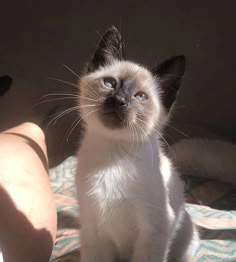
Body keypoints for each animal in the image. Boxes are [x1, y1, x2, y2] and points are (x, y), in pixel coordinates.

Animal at [76, 26, 198, 262]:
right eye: (110, 83)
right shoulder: (93, 231)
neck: (114, 157)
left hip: (185, 237)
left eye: (140, 96)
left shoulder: (152, 233)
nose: (119, 101)